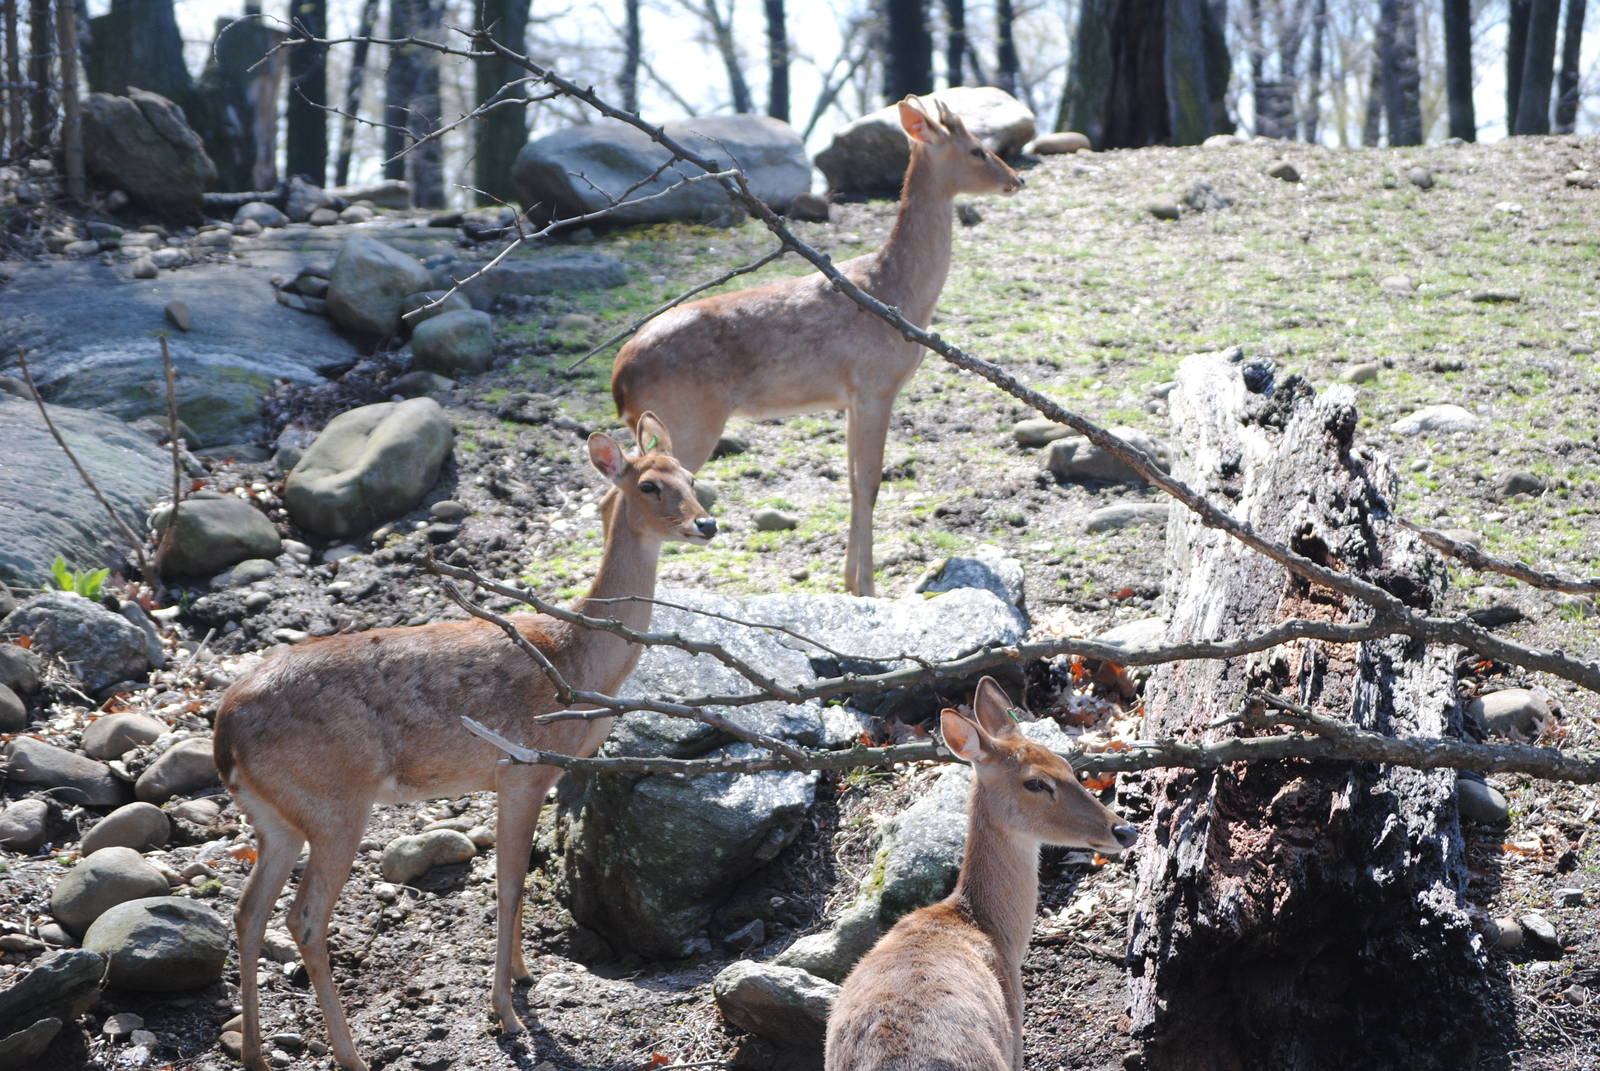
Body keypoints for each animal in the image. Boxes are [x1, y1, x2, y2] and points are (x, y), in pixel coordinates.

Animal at [212, 413, 716, 1071]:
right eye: (650, 486)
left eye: (692, 477)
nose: (705, 522)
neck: (579, 660)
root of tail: (224, 731)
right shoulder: (521, 767)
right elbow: (506, 884)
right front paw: (505, 1014)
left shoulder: (525, 777)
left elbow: (515, 880)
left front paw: (523, 977)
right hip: (333, 803)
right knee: (305, 919)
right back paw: (350, 1055)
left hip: (275, 816)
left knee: (248, 913)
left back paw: (255, 1053)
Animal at [610, 94, 1023, 597]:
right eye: (978, 149)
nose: (1016, 179)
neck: (898, 292)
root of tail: (620, 378)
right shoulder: (876, 385)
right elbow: (870, 483)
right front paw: (867, 588)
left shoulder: (850, 397)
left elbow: (852, 482)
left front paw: (850, 581)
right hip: (687, 419)